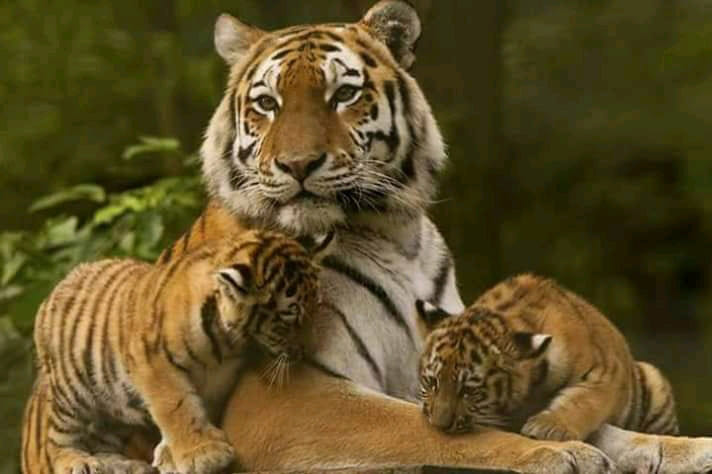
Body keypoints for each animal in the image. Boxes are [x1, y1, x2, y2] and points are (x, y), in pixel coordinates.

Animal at [23, 229, 332, 474]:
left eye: (316, 306)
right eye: (288, 318)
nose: (308, 350)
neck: (227, 341)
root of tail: (60, 285)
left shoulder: (221, 375)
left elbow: (199, 407)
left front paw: (173, 455)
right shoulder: (154, 363)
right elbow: (177, 407)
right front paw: (203, 454)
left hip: (112, 406)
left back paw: (122, 464)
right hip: (71, 393)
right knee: (56, 436)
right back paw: (77, 461)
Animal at [418, 273, 679, 441]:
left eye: (468, 391)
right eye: (432, 382)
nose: (440, 426)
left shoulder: (604, 373)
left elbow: (583, 400)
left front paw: (547, 427)